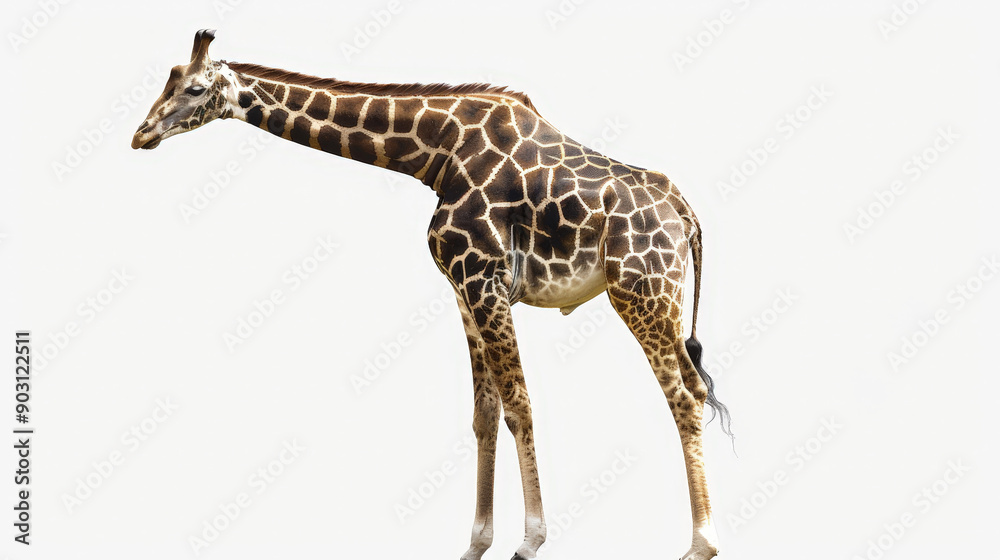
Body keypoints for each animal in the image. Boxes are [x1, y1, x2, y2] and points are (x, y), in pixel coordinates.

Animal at [132, 29, 733, 560]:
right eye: (168, 80)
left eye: (194, 89)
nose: (141, 134)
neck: (434, 152)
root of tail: (686, 215)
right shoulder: (463, 287)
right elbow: (484, 412)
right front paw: (476, 542)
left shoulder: (485, 277)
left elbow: (519, 403)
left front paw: (530, 539)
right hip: (661, 299)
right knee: (697, 388)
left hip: (640, 291)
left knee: (682, 394)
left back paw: (702, 542)